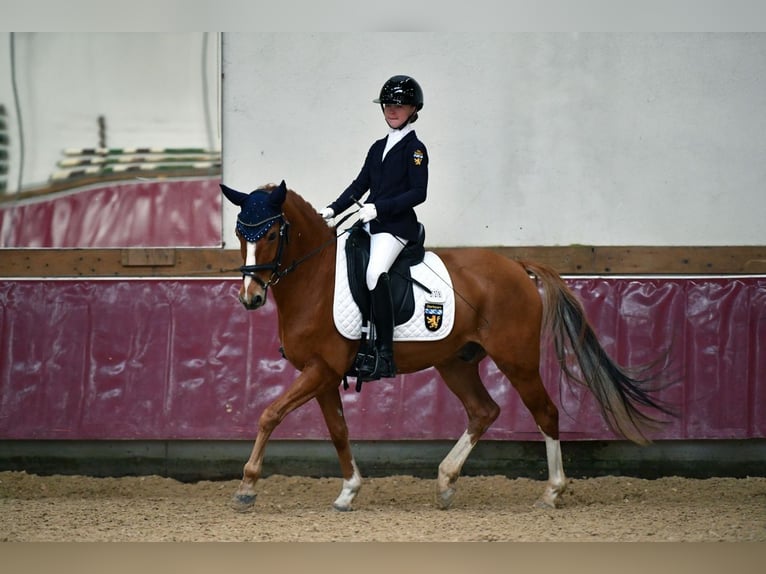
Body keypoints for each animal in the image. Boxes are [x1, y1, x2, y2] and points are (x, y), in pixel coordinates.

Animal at [218, 181, 672, 512]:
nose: (250, 298)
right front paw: (348, 491)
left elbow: (269, 414)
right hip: (456, 362)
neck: (314, 278)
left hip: (517, 361)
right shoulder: (324, 376)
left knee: (545, 412)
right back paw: (446, 481)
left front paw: (246, 487)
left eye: (271, 233)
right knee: (483, 411)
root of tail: (517, 267)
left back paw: (551, 492)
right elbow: (338, 431)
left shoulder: (321, 371)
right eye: (241, 234)